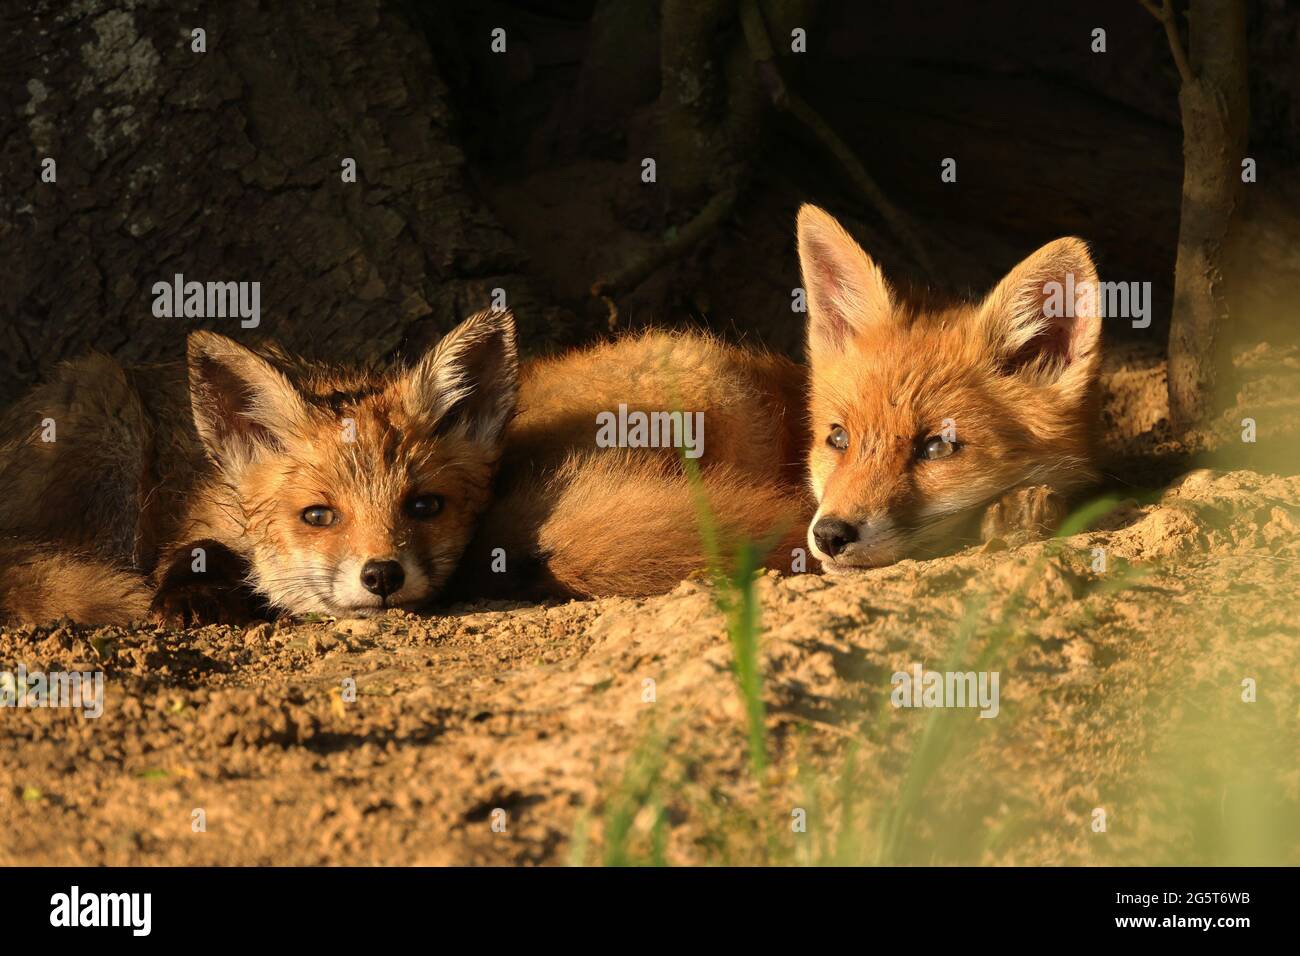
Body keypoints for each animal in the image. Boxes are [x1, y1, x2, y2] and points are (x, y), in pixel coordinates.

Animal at [0, 312, 517, 629]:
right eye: (317, 516)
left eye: (425, 506)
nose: (382, 576)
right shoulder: (197, 518)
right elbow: (194, 552)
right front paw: (192, 597)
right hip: (109, 418)